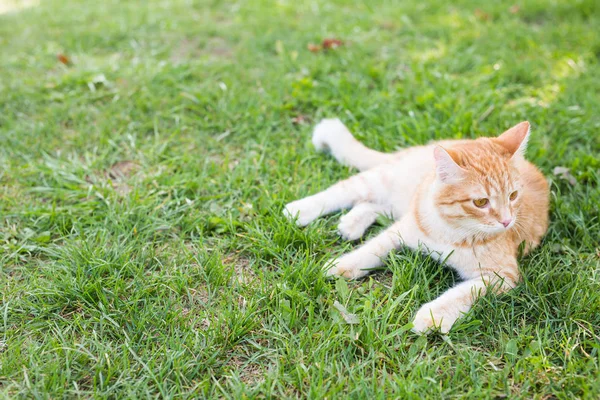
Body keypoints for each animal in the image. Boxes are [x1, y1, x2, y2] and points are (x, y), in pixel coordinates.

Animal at [284, 119, 552, 334]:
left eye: (513, 196)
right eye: (481, 202)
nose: (507, 221)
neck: (450, 230)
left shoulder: (501, 276)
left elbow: (466, 292)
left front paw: (434, 315)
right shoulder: (403, 230)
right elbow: (372, 248)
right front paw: (344, 265)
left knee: (372, 205)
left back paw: (352, 222)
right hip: (381, 182)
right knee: (344, 191)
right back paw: (301, 209)